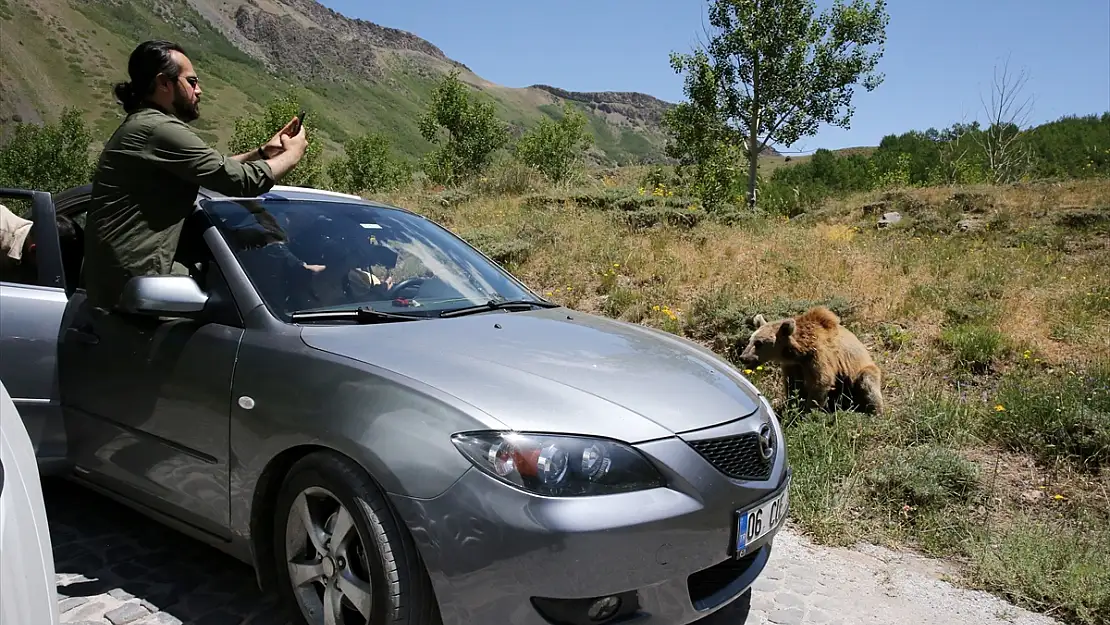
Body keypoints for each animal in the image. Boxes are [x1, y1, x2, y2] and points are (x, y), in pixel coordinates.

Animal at [737, 306, 883, 415]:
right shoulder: (793, 365)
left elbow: (821, 382)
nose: (743, 357)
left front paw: (807, 413)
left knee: (868, 383)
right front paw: (792, 407)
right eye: (750, 340)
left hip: (859, 373)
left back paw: (873, 412)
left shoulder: (819, 356)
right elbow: (793, 385)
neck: (800, 352)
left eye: (759, 343)